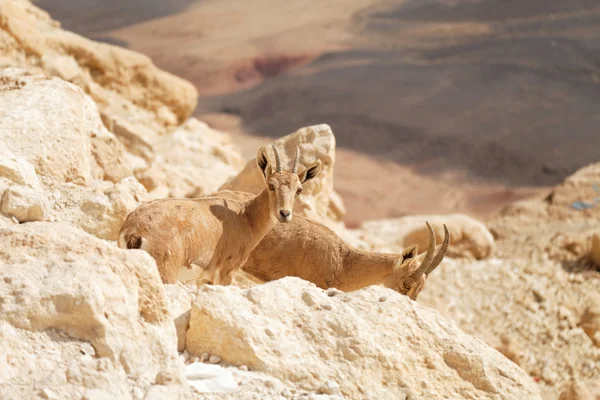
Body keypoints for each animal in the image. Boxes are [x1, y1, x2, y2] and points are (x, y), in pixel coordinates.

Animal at [119, 145, 322, 286]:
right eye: (271, 185)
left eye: (299, 189)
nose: (284, 214)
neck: (246, 218)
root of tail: (133, 232)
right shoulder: (225, 274)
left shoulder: (205, 278)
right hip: (165, 272)